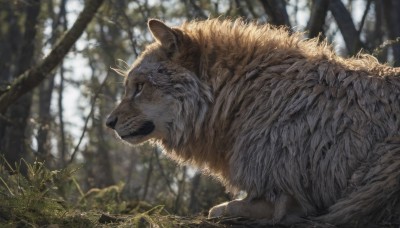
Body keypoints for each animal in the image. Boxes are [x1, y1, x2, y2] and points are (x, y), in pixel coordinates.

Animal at [106, 18, 400, 225]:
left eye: (139, 87)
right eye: (129, 87)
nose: (108, 122)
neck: (244, 94)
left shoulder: (284, 193)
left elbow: (220, 209)